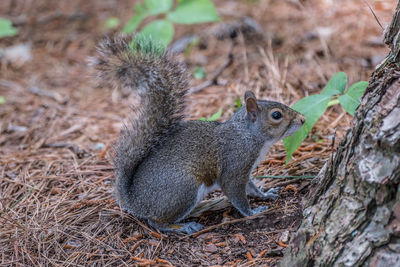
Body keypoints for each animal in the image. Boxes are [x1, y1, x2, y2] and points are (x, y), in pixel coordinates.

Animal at [93, 35, 306, 234]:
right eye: (276, 115)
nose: (303, 119)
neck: (248, 135)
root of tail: (134, 200)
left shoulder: (245, 172)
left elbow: (251, 187)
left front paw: (266, 194)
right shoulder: (235, 166)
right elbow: (236, 193)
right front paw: (253, 212)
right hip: (183, 189)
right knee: (156, 222)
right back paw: (183, 226)